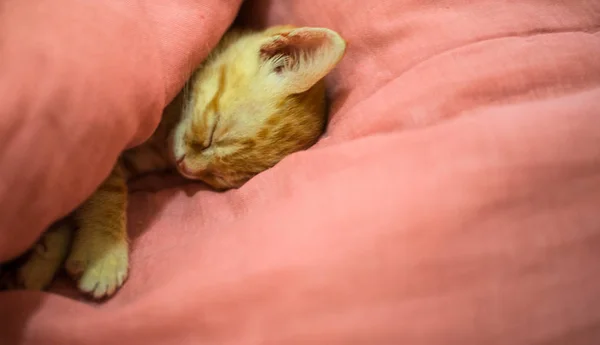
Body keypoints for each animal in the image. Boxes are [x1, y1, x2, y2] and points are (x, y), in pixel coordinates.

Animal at [3, 24, 346, 298]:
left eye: (219, 180)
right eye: (211, 134)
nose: (186, 169)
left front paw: (45, 257)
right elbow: (106, 189)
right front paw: (103, 253)